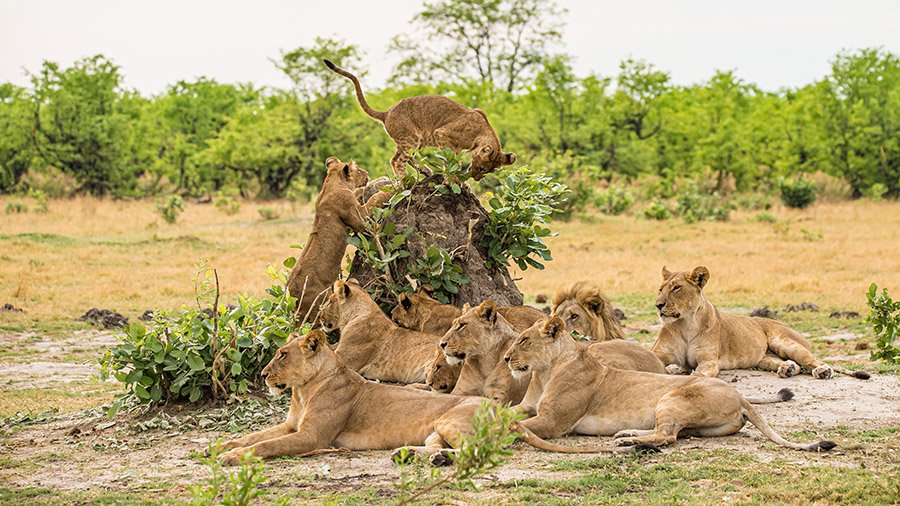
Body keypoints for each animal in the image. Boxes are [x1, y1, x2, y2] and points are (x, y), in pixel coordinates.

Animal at [218, 330, 654, 465]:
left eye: (282, 354)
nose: (263, 375)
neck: (303, 390)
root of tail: (502, 412)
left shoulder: (311, 437)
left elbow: (268, 446)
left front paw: (232, 458)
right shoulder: (291, 424)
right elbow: (254, 435)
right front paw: (220, 446)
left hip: (450, 418)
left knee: (481, 451)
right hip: (435, 429)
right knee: (439, 448)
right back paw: (411, 456)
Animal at [286, 157, 392, 320]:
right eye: (359, 169)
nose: (367, 173)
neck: (331, 185)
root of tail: (292, 295)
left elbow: (358, 191)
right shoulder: (360, 218)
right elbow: (374, 200)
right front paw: (390, 188)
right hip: (317, 305)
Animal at [323, 59, 516, 179]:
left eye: (487, 172)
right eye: (482, 168)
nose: (476, 179)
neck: (481, 131)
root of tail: (387, 113)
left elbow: (455, 160)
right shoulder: (442, 133)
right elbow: (450, 161)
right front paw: (454, 179)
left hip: (414, 140)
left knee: (404, 157)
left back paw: (425, 172)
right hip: (412, 137)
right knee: (397, 160)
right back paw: (405, 181)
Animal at [503, 318, 836, 452]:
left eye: (524, 341)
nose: (505, 358)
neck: (543, 372)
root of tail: (741, 397)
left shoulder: (554, 421)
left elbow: (515, 423)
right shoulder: (528, 406)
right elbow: (505, 412)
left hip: (672, 398)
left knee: (668, 436)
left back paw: (628, 442)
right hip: (698, 425)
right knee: (674, 433)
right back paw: (628, 435)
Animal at [652, 266, 869, 380]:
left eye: (676, 288)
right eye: (661, 289)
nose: (658, 305)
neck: (685, 324)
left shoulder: (708, 360)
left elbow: (700, 374)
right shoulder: (659, 354)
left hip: (786, 343)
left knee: (815, 361)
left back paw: (822, 371)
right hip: (764, 358)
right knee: (792, 365)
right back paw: (787, 369)